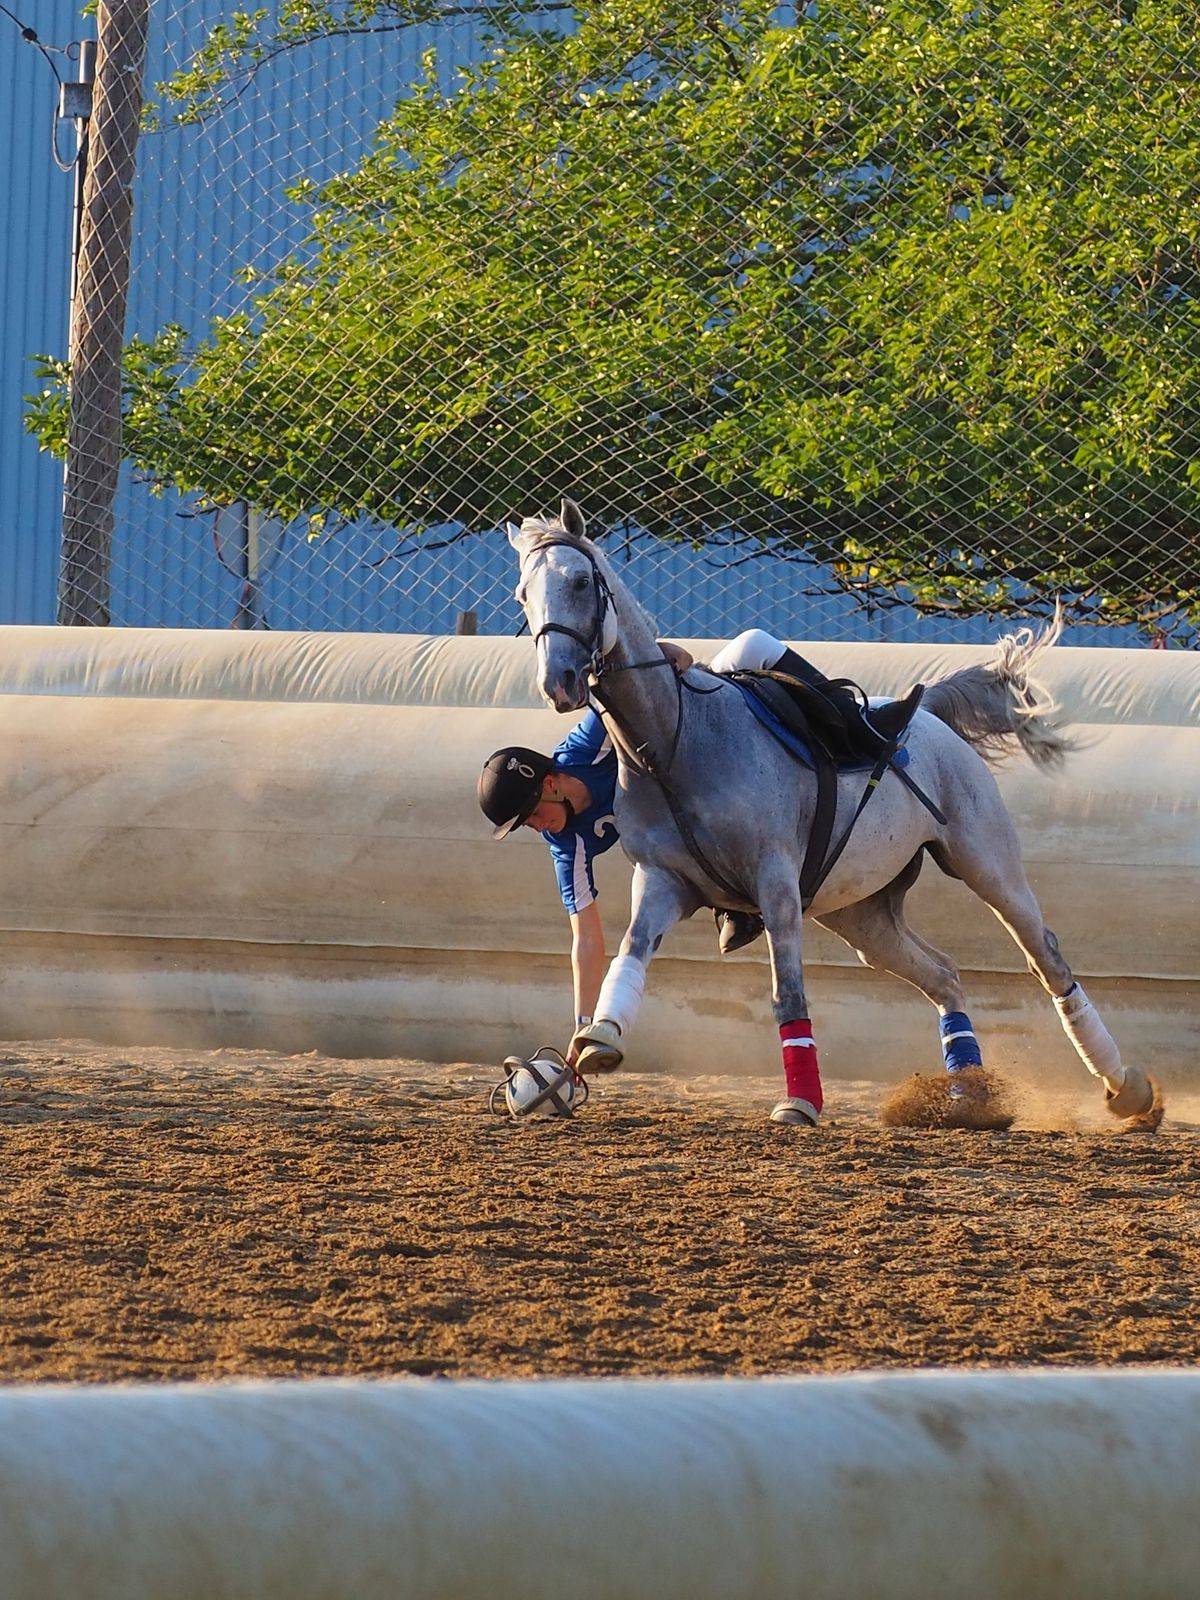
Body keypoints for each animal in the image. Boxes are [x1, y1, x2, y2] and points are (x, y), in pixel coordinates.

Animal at [512, 492, 1158, 1132]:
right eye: (523, 594)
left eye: (578, 581)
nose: (559, 682)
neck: (675, 743)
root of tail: (931, 717)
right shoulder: (662, 879)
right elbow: (631, 950)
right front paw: (598, 1039)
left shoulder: (775, 882)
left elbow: (789, 995)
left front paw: (800, 1102)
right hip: (861, 914)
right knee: (944, 975)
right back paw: (970, 1097)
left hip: (987, 865)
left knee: (1047, 959)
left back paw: (1125, 1089)